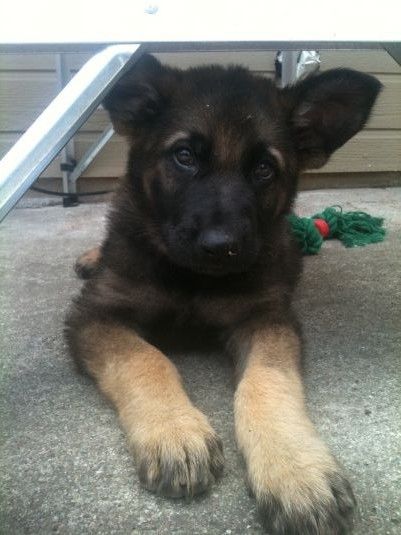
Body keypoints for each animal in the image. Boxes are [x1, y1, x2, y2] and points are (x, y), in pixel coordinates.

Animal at [66, 55, 382, 535]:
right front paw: (175, 432)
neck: (193, 279)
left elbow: (265, 381)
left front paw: (297, 472)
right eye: (184, 157)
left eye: (264, 169)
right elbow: (146, 358)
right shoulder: (96, 313)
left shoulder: (267, 318)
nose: (221, 246)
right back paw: (90, 255)